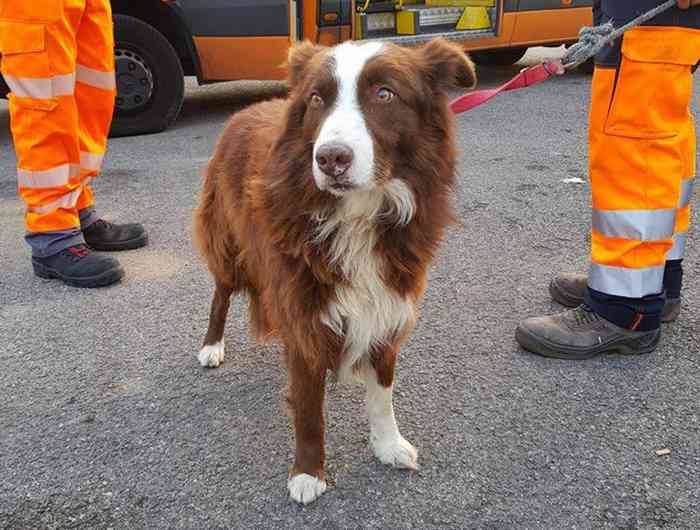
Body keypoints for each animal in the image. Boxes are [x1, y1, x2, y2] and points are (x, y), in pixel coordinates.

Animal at [191, 38, 476, 504]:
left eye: (384, 94)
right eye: (316, 99)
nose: (329, 159)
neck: (357, 214)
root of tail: (244, 111)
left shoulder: (388, 304)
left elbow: (383, 393)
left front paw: (388, 445)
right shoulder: (305, 311)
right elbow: (308, 407)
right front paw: (308, 473)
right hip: (228, 241)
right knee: (221, 294)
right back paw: (212, 346)